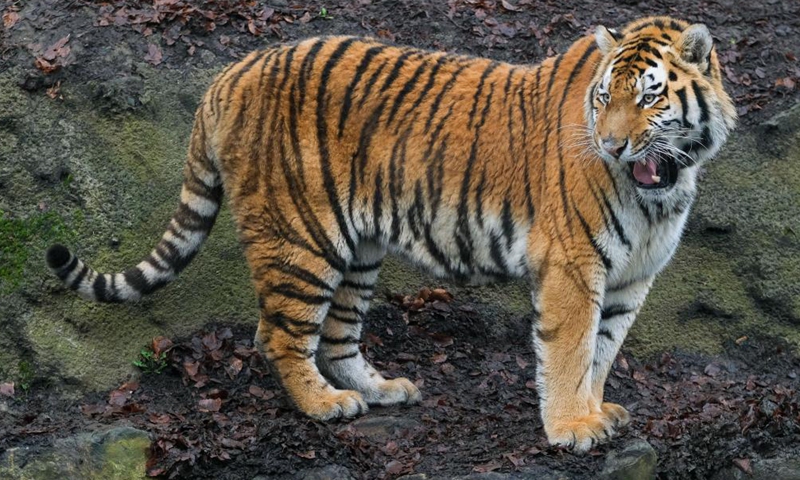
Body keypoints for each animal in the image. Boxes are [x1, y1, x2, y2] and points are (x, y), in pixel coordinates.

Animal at [47, 15, 736, 450]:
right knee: (278, 334)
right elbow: (570, 350)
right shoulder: (573, 264)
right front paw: (571, 428)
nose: (612, 145)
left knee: (336, 338)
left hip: (359, 249)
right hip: (302, 239)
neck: (663, 187)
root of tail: (230, 74)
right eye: (603, 98)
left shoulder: (630, 276)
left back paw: (381, 390)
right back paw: (325, 405)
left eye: (648, 98)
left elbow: (602, 351)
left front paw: (596, 412)